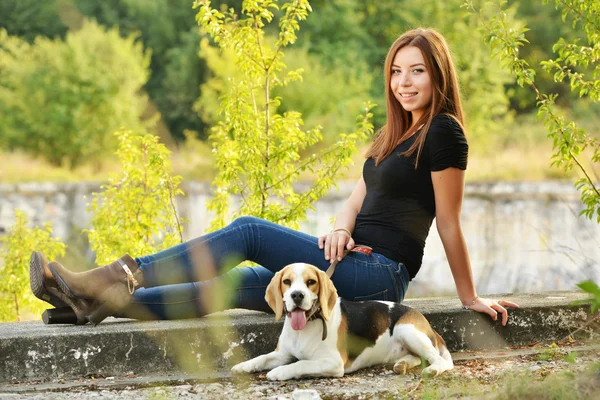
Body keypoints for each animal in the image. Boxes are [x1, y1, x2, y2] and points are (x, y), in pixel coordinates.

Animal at [232, 262, 452, 382]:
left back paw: (432, 369)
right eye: (287, 282)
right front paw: (242, 366)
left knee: (439, 361)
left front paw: (279, 371)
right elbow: (261, 358)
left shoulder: (332, 362)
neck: (306, 327)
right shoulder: (282, 354)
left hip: (406, 330)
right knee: (418, 357)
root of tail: (421, 317)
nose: (296, 295)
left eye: (311, 282)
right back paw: (402, 364)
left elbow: (301, 363)